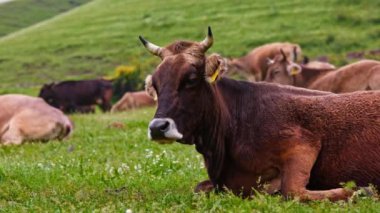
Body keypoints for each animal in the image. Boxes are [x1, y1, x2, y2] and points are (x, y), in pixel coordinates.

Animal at [141, 26, 380, 201]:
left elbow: (292, 191)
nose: (158, 127)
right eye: (155, 84)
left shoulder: (303, 143)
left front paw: (359, 191)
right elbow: (199, 187)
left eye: (191, 79)